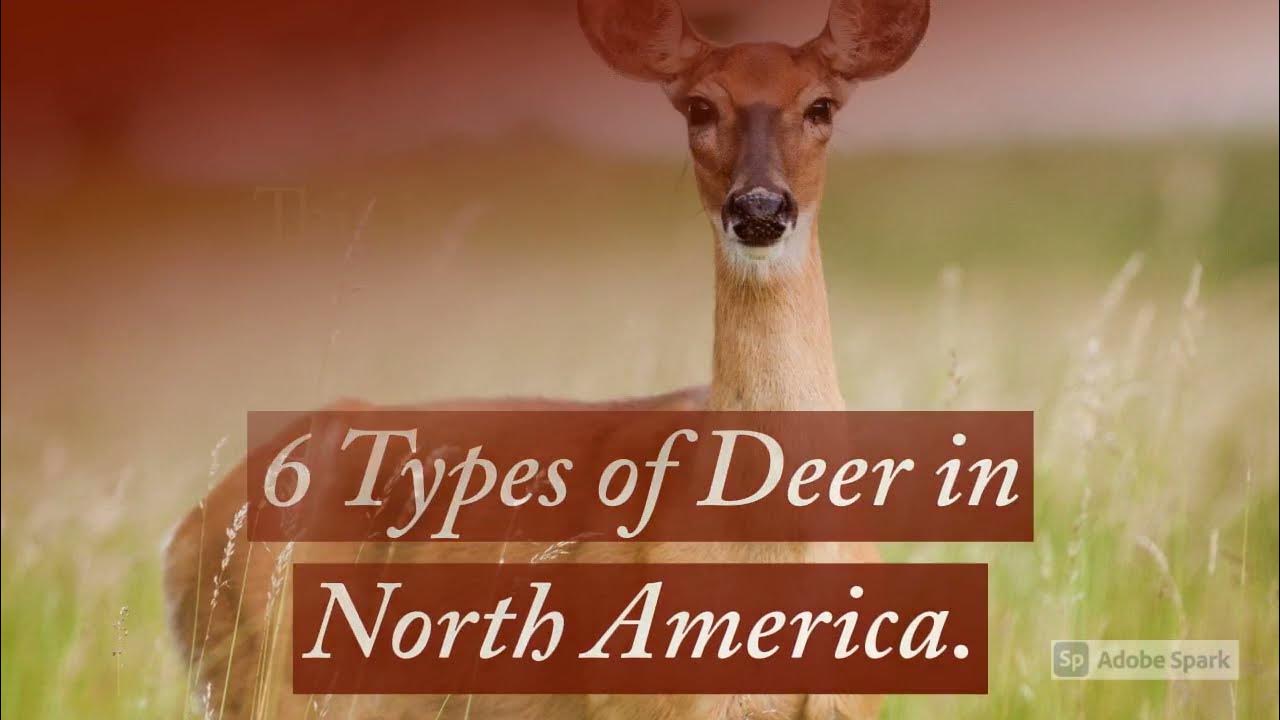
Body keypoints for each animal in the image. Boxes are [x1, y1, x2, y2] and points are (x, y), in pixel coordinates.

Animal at [162, 0, 930, 718]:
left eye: (822, 105)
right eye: (700, 106)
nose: (761, 208)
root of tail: (186, 533)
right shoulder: (646, 697)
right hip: (265, 676)